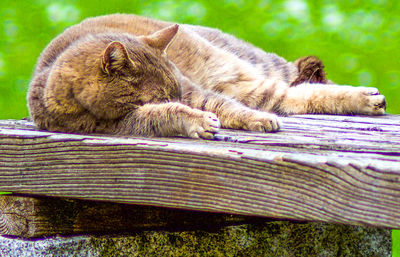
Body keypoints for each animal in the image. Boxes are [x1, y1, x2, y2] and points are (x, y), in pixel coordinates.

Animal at [25, 13, 388, 138]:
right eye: (162, 96)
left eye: (175, 90)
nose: (180, 99)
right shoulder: (119, 124)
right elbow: (161, 115)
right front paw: (196, 120)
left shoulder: (194, 91)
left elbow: (225, 107)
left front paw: (249, 119)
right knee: (297, 97)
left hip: (249, 76)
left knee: (298, 89)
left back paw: (367, 99)